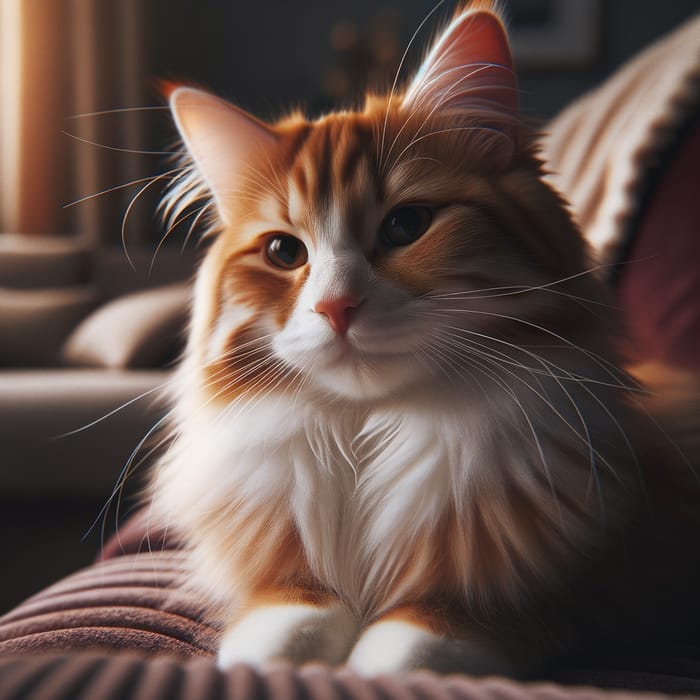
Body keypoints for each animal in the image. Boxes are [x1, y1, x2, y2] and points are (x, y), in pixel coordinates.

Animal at [148, 0, 700, 680]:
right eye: (284, 252)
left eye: (405, 225)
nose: (336, 306)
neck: (370, 434)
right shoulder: (282, 553)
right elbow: (287, 609)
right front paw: (281, 653)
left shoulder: (616, 575)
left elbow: (433, 632)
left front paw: (384, 657)